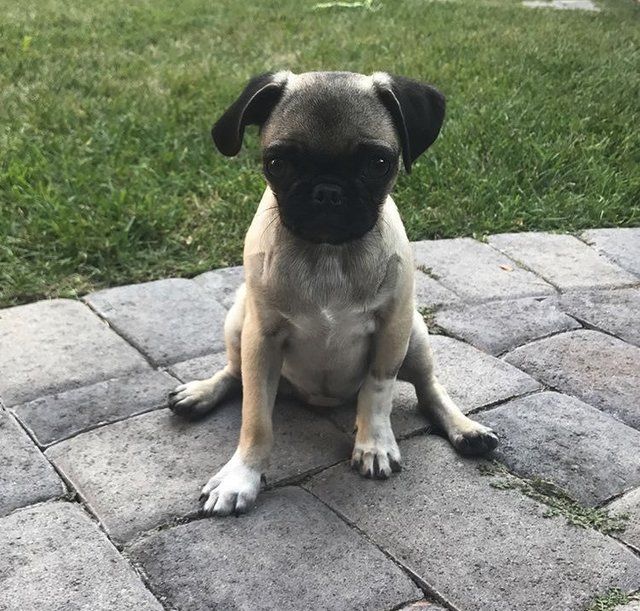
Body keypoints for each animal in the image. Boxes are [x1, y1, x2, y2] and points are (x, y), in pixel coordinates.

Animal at [169, 71, 499, 516]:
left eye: (378, 163)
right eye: (278, 163)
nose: (327, 191)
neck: (328, 252)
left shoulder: (391, 328)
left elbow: (377, 391)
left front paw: (373, 444)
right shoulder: (261, 338)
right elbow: (255, 418)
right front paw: (242, 476)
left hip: (414, 335)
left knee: (429, 390)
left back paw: (465, 428)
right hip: (238, 320)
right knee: (236, 374)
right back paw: (202, 392)